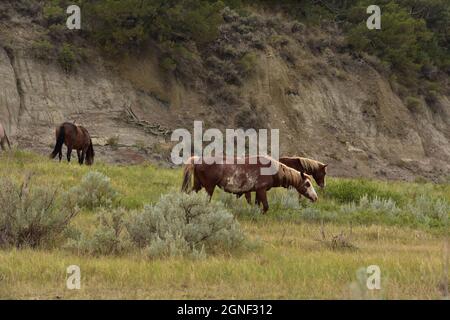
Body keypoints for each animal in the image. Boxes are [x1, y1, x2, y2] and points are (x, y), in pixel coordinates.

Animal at [181, 155, 318, 212]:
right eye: (307, 184)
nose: (315, 197)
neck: (272, 169)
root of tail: (198, 159)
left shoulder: (257, 191)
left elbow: (257, 205)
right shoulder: (261, 190)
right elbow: (265, 207)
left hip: (198, 186)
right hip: (209, 187)